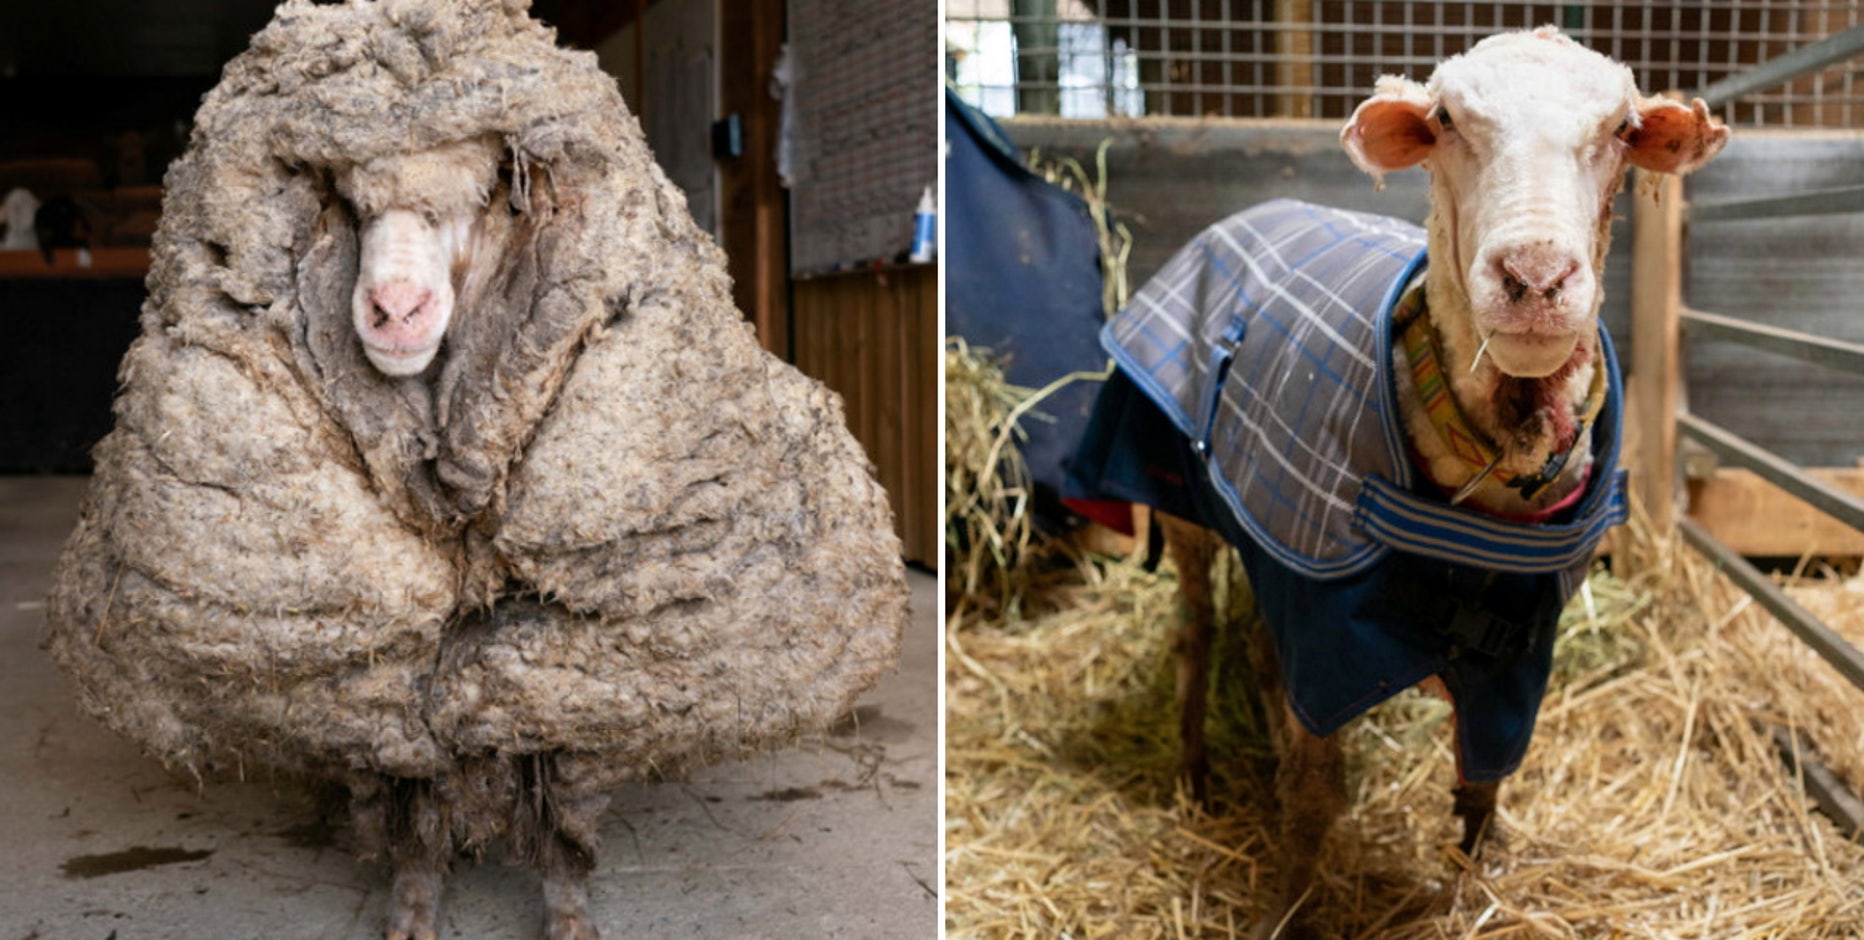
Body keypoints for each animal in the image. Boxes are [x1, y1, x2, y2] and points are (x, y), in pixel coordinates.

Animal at [42, 3, 909, 939]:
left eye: (484, 195)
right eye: (348, 201)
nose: (394, 310)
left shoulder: (575, 657)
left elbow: (553, 764)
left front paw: (567, 910)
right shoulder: (383, 677)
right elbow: (410, 773)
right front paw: (414, 905)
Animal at [1068, 27, 1727, 936]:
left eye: (1624, 129)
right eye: (1446, 119)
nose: (1534, 278)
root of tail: (1250, 212)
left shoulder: (1515, 652)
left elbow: (1485, 780)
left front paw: (1475, 884)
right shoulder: (1325, 629)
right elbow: (1317, 796)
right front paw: (1285, 908)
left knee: (1254, 644)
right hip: (1187, 509)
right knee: (1195, 634)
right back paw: (1194, 769)